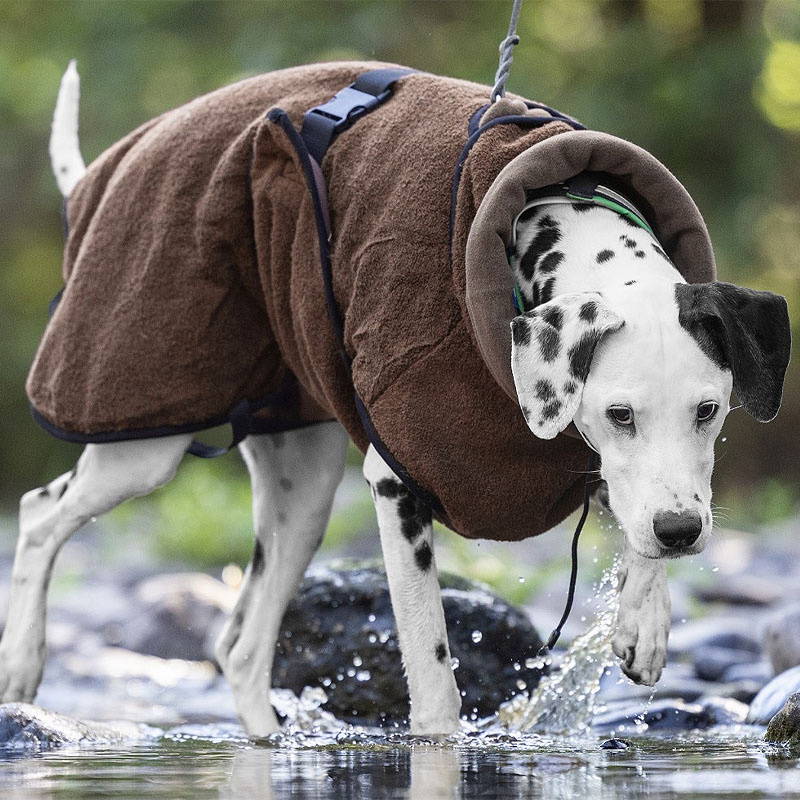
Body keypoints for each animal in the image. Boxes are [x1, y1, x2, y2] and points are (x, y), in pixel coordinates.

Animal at [0, 65, 792, 736]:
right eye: (619, 414)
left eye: (709, 412)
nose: (682, 533)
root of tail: (98, 177)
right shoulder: (398, 490)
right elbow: (435, 680)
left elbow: (637, 511)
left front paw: (643, 622)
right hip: (145, 441)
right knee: (40, 515)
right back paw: (23, 661)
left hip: (302, 497)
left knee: (241, 646)